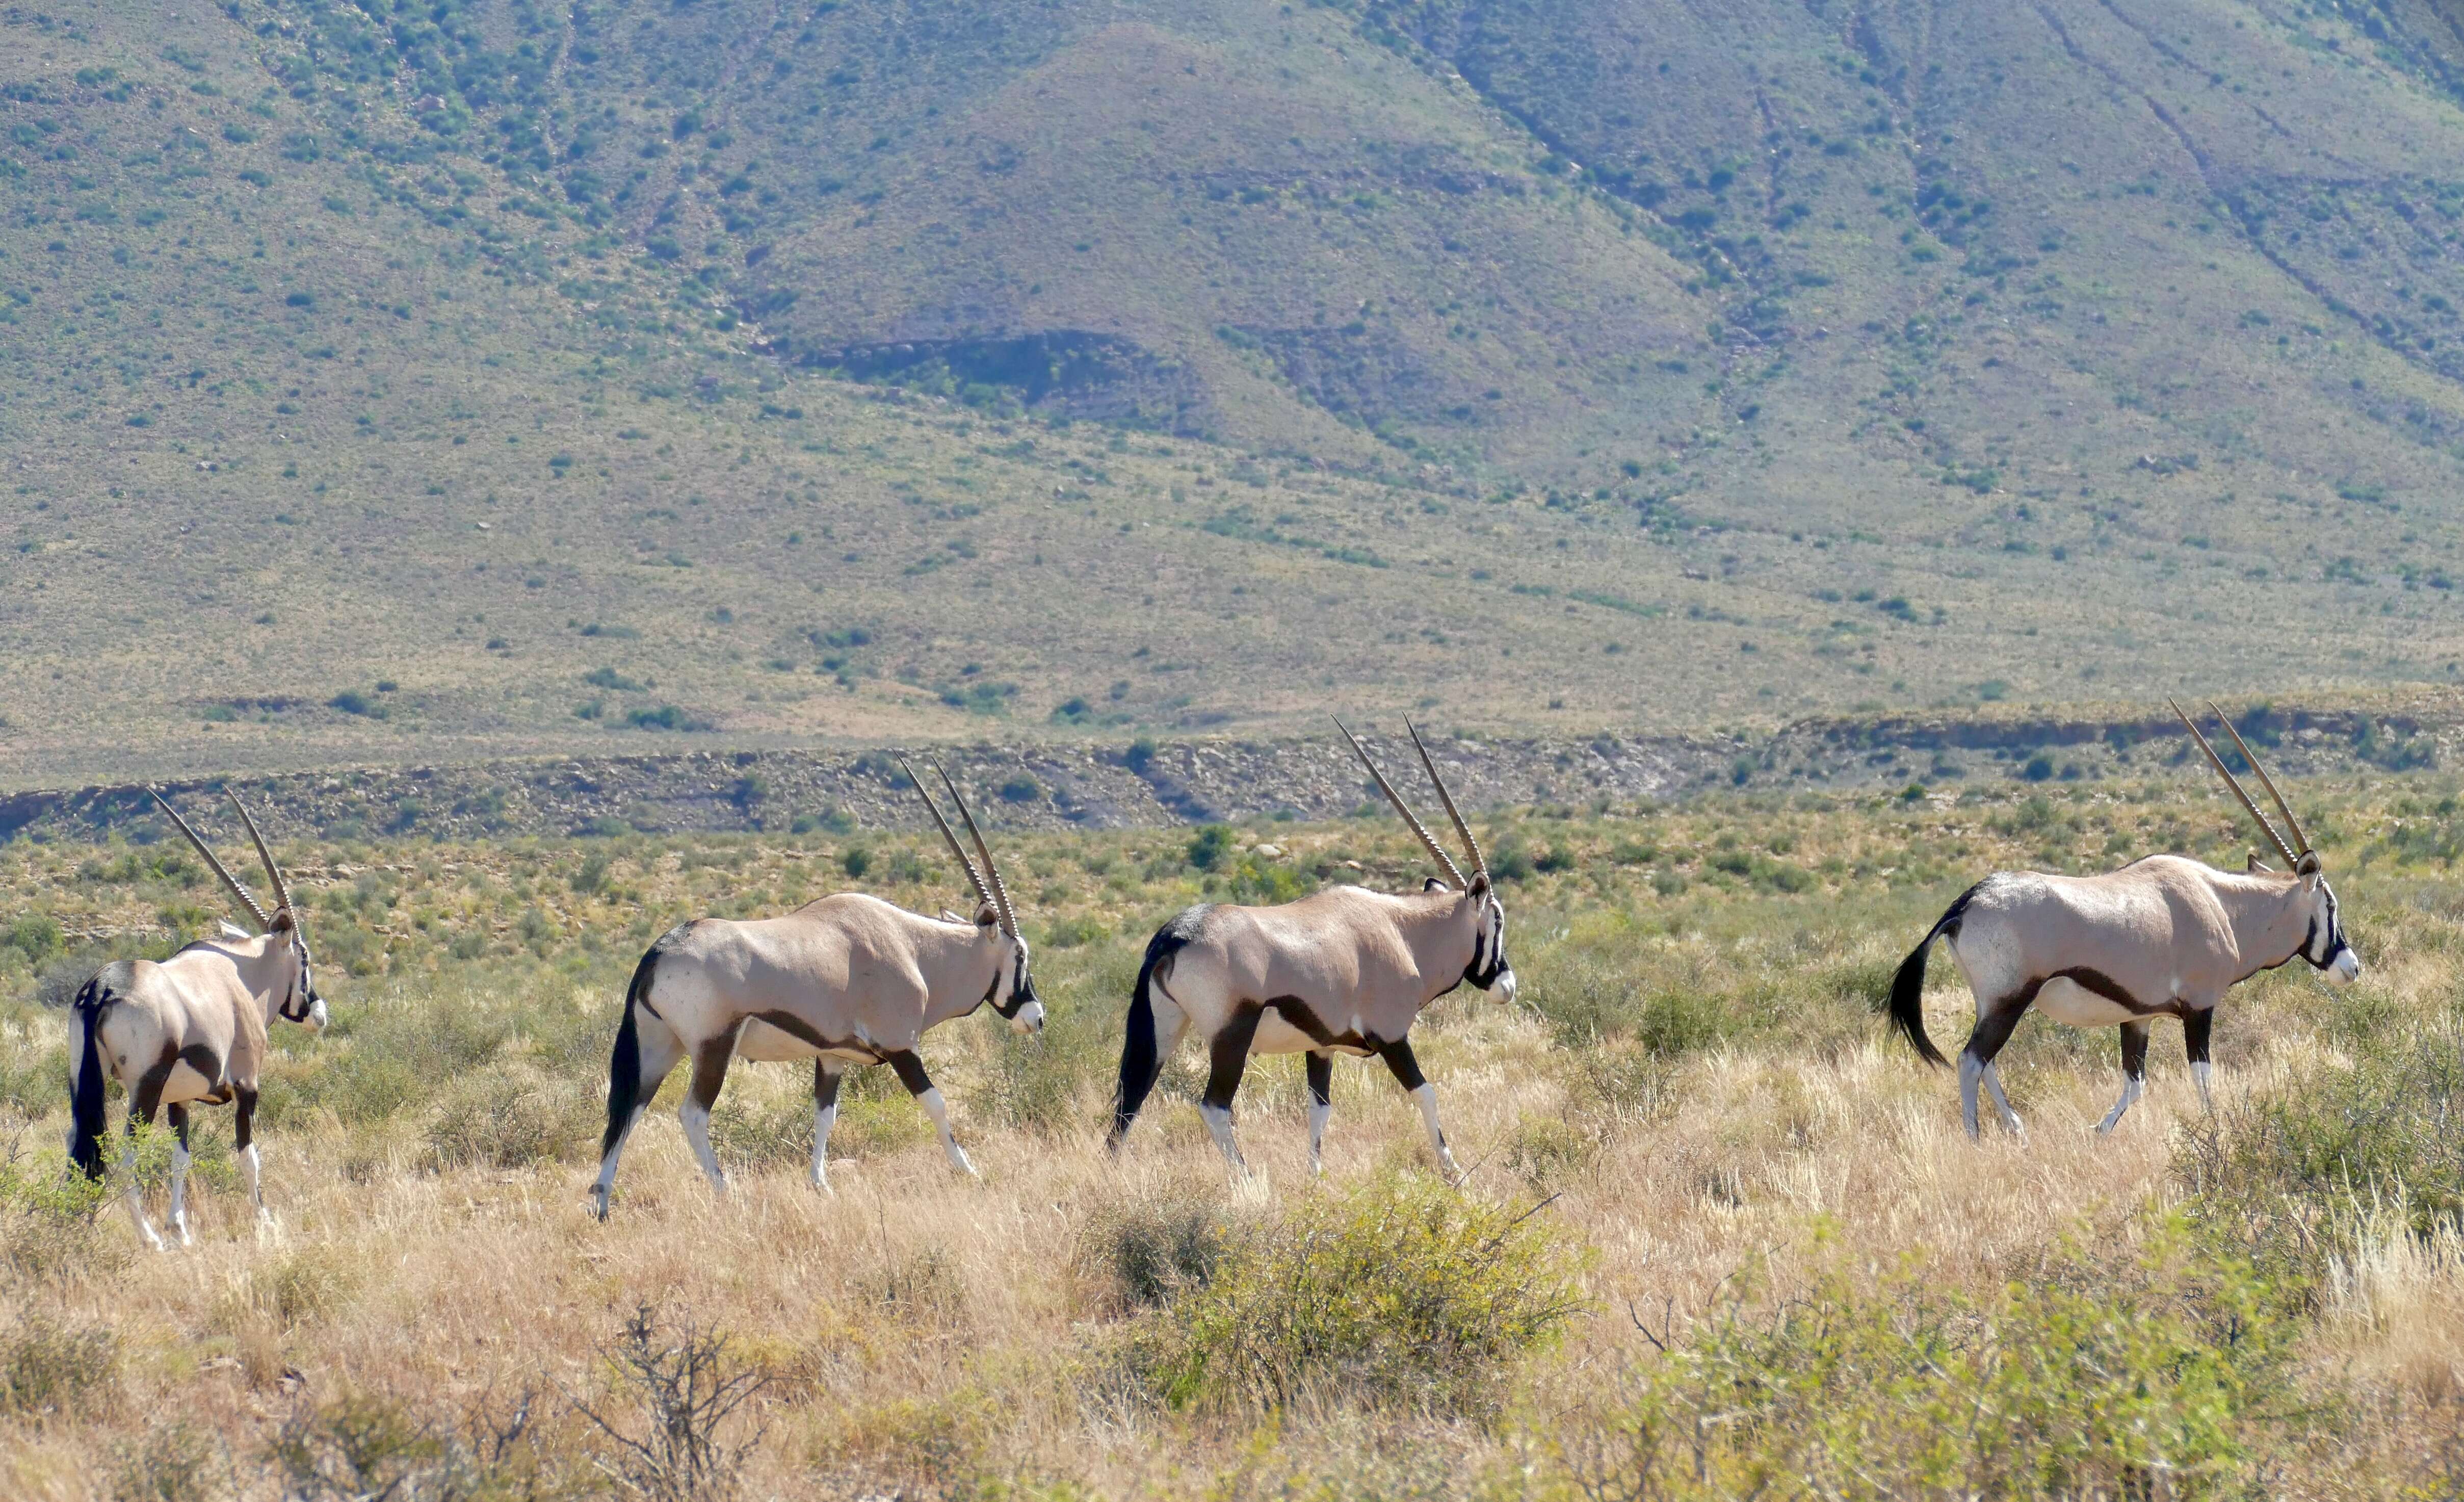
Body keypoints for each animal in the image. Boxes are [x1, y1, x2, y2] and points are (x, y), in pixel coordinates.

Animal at [69, 789, 327, 1248]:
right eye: (305, 958)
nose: (318, 1012)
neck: (243, 976)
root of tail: (103, 987)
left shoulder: (180, 1100)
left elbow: (181, 1159)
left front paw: (181, 1229)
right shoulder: (246, 1085)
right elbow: (248, 1155)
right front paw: (264, 1220)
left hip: (86, 1086)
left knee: (79, 1150)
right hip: (144, 1090)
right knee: (126, 1155)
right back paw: (148, 1239)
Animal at [591, 759, 1044, 1218]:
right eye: (1021, 955)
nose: (1037, 1017)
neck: (914, 949)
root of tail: (660, 950)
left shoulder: (832, 1055)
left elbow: (824, 1114)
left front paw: (820, 1184)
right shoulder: (901, 1046)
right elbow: (936, 1103)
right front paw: (968, 1170)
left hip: (661, 1047)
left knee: (628, 1110)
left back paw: (602, 1203)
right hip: (713, 1046)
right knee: (692, 1114)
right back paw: (726, 1192)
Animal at [1109, 720, 1508, 1179]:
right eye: (1498, 919)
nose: (1506, 985)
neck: (1402, 931)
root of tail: (1176, 934)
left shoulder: (1322, 1047)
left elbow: (1320, 1110)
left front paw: (1316, 1178)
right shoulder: (1392, 1036)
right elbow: (1425, 1093)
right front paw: (1454, 1173)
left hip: (1164, 1031)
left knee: (1130, 1103)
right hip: (1231, 1038)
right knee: (1213, 1108)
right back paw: (1248, 1181)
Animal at [1882, 700, 2365, 1134]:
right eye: (2331, 905)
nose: (2352, 967)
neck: (2223, 906)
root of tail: (1967, 902)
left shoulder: (2138, 1017)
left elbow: (2135, 1084)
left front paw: (2100, 1131)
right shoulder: (2199, 1007)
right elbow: (2203, 1078)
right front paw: (2215, 1132)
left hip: (1993, 1003)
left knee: (1987, 1063)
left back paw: (2017, 1128)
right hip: (2009, 1000)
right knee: (1971, 1061)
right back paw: (1976, 1137)